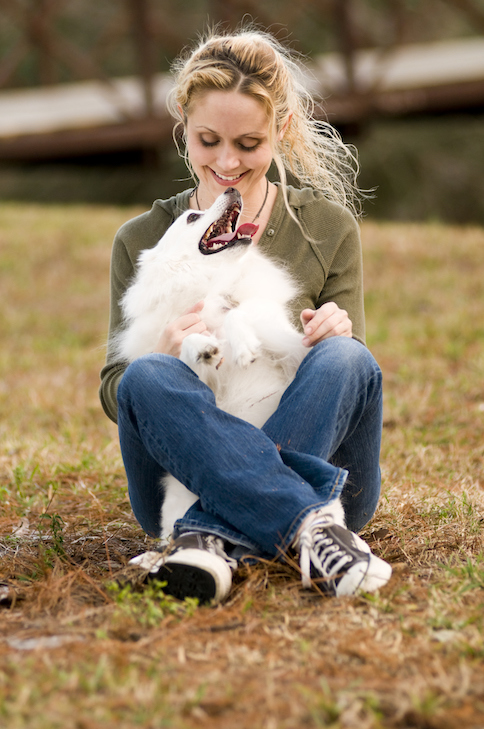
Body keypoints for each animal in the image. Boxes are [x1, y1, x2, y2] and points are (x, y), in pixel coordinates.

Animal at [113, 188, 342, 540]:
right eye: (193, 217)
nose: (231, 190)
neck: (211, 284)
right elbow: (191, 345)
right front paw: (206, 347)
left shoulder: (288, 346)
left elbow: (241, 313)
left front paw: (243, 343)